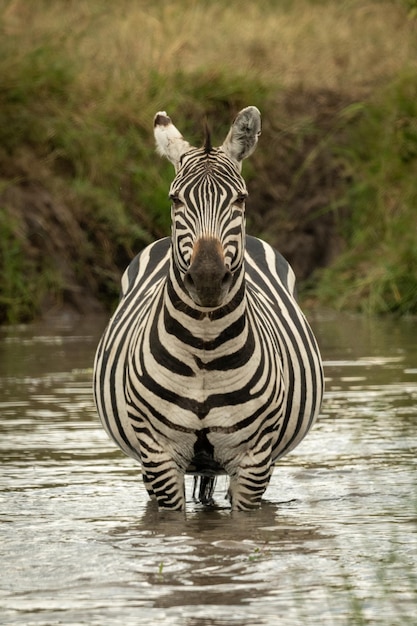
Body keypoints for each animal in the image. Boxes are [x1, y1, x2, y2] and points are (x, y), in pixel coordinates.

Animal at [92, 105, 324, 510]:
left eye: (240, 200)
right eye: (175, 200)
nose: (208, 279)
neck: (204, 347)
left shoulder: (253, 461)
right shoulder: (159, 456)